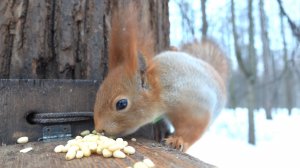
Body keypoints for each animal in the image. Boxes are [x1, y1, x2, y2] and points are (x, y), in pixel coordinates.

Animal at [94, 3, 227, 152]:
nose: (99, 129)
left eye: (121, 104)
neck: (164, 88)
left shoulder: (198, 107)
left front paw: (178, 141)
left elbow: (192, 130)